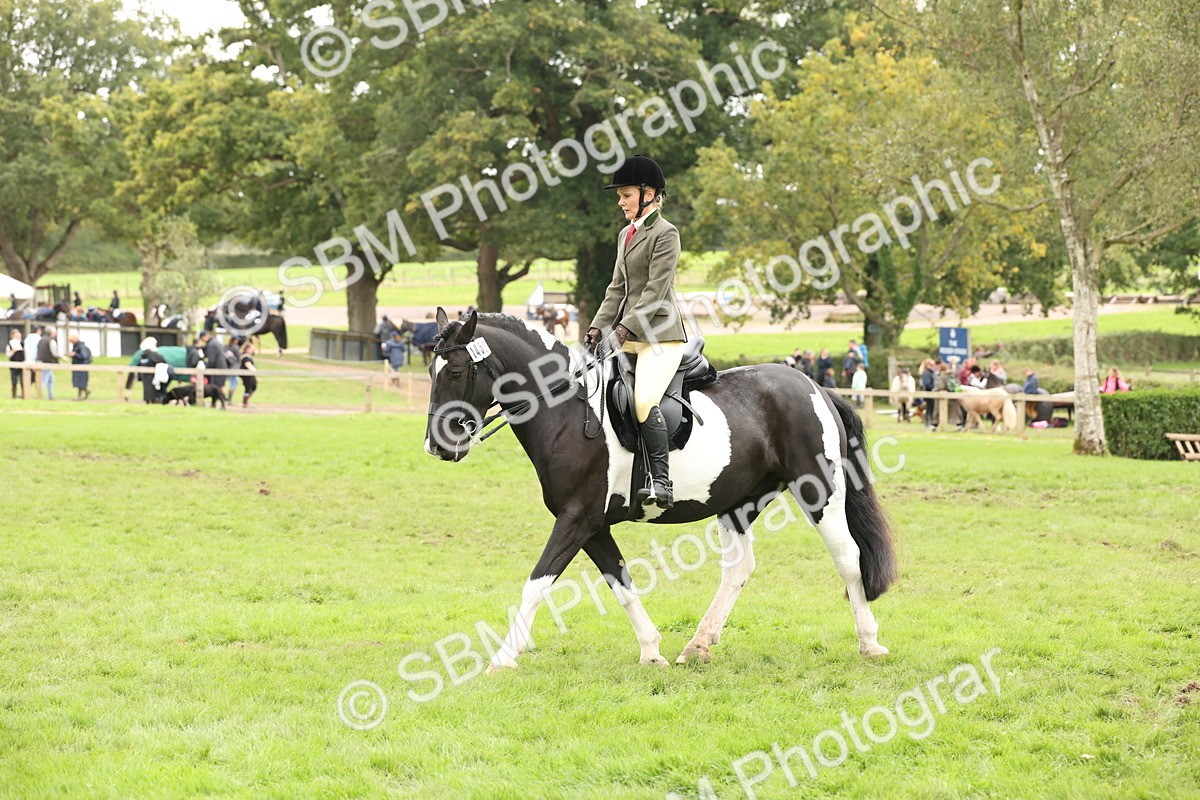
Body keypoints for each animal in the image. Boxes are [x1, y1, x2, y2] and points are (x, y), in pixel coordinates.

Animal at [424, 309, 897, 672]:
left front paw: (502, 657)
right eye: (431, 371)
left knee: (848, 558)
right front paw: (652, 652)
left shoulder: (577, 519)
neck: (568, 410)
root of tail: (815, 387)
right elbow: (621, 583)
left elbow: (536, 584)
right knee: (738, 569)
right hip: (739, 502)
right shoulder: (592, 525)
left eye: (457, 371)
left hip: (819, 491)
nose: (436, 446)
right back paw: (698, 645)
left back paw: (870, 642)